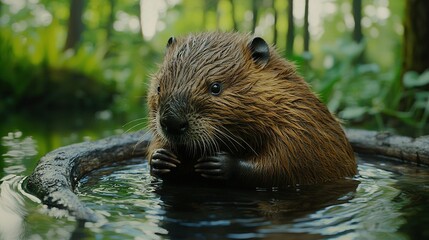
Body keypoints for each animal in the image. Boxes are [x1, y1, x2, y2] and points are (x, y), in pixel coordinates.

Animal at [147, 31, 354, 188]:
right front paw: (160, 158)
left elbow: (283, 165)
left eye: (216, 87)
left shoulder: (299, 127)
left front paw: (219, 164)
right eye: (159, 87)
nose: (172, 123)